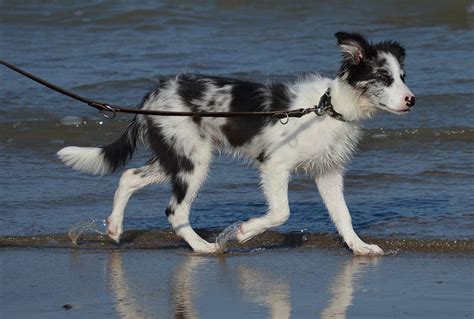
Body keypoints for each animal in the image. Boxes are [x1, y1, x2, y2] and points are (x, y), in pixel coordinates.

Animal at [58, 32, 414, 256]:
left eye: (402, 76)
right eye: (383, 77)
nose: (411, 100)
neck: (327, 108)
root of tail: (154, 95)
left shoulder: (328, 173)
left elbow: (343, 215)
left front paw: (359, 247)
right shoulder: (275, 165)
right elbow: (281, 212)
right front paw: (245, 231)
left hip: (176, 156)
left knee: (129, 177)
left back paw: (115, 227)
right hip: (192, 162)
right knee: (175, 210)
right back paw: (203, 247)